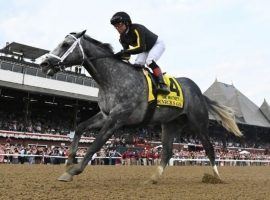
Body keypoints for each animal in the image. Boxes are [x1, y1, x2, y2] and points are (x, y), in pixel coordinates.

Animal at [40, 30, 243, 183]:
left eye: (65, 44)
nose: (44, 63)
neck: (113, 78)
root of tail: (198, 92)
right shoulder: (105, 114)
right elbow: (80, 127)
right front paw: (69, 160)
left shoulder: (117, 118)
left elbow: (95, 145)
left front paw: (72, 171)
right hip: (170, 124)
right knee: (167, 152)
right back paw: (154, 178)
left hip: (198, 122)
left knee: (209, 148)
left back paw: (216, 177)